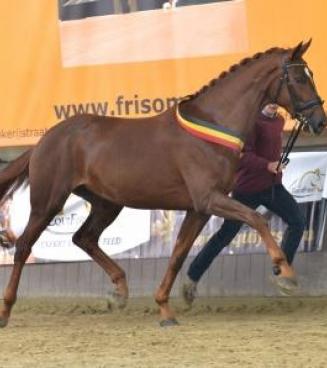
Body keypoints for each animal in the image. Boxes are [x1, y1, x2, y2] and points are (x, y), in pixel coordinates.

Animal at [0, 41, 326, 328]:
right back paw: (6, 311)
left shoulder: (199, 210)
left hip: (107, 203)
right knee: (24, 246)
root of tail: (44, 141)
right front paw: (285, 274)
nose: (319, 121)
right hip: (48, 201)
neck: (213, 127)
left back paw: (119, 292)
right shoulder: (210, 199)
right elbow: (257, 219)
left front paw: (165, 311)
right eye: (299, 78)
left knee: (84, 238)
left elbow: (178, 255)